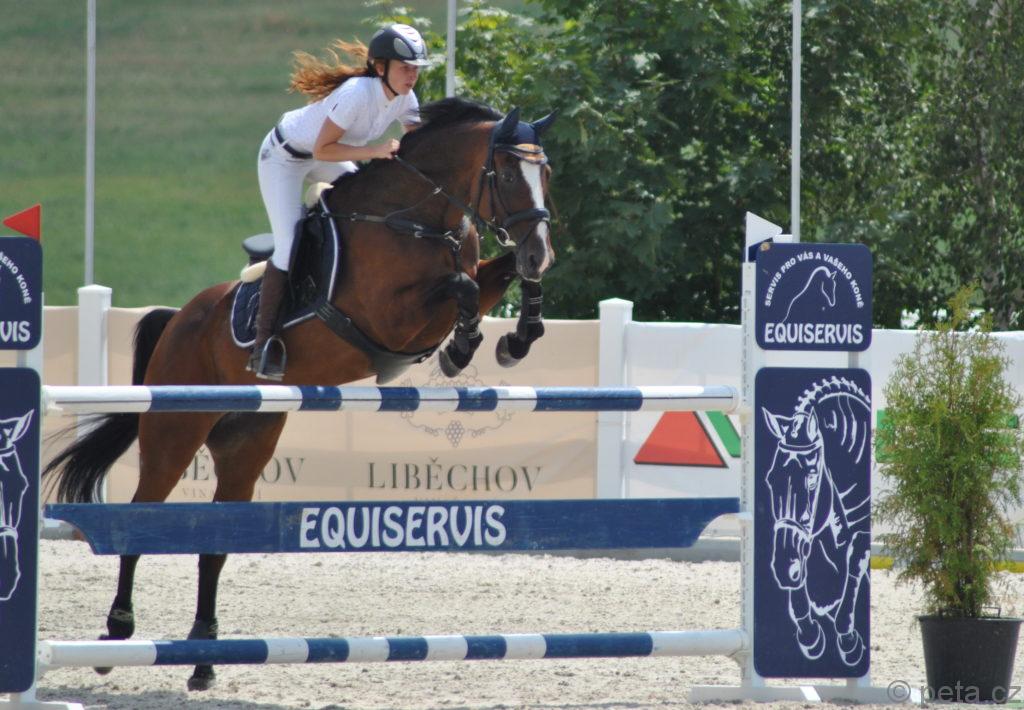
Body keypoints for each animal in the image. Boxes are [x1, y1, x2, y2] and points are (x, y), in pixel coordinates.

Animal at [43, 97, 557, 691]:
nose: (540, 252)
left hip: (247, 441)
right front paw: (462, 348)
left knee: (216, 543)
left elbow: (492, 279)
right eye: (508, 175)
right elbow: (463, 288)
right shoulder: (391, 316)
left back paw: (202, 659)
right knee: (140, 521)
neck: (420, 219)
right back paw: (116, 633)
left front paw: (518, 338)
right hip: (174, 432)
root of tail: (179, 319)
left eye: (545, 174)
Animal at [760, 376, 871, 668]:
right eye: (771, 479)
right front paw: (810, 634)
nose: (782, 568)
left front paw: (849, 640)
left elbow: (855, 561)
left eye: (812, 478)